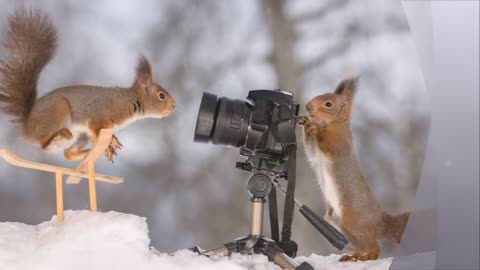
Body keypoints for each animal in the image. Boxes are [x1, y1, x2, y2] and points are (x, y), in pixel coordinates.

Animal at [0, 8, 176, 161]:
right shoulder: (98, 117)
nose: (174, 106)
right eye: (161, 95)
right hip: (58, 111)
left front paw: (111, 144)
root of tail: (27, 126)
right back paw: (58, 138)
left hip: (79, 136)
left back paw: (86, 152)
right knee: (44, 144)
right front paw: (109, 144)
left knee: (68, 154)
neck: (129, 100)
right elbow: (96, 131)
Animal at [300, 77, 408, 262]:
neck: (333, 123)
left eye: (328, 104)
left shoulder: (340, 140)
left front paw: (314, 126)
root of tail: (381, 222)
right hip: (336, 223)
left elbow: (329, 144)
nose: (307, 106)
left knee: (374, 246)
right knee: (360, 246)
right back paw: (353, 256)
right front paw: (305, 122)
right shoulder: (315, 153)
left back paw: (369, 256)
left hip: (353, 221)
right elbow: (311, 150)